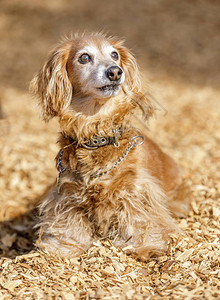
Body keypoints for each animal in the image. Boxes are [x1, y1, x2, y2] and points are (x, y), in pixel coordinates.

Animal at [30, 32, 183, 258]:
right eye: (84, 57)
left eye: (115, 55)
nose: (115, 72)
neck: (97, 137)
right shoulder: (67, 193)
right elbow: (69, 222)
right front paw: (64, 247)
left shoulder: (136, 190)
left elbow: (140, 218)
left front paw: (144, 245)